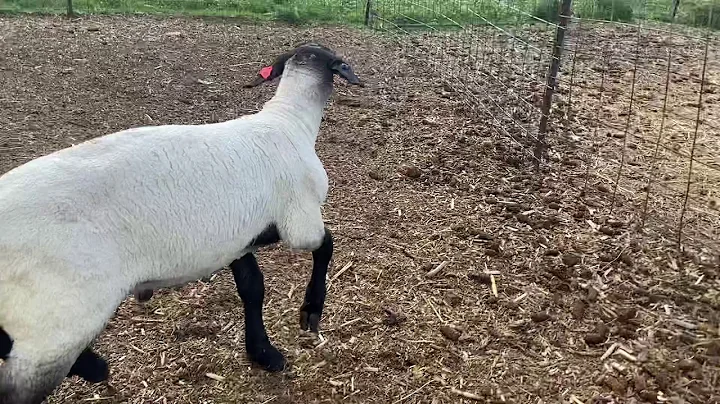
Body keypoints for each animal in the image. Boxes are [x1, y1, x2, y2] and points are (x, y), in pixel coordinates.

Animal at [0, 41, 360, 404]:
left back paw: (93, 367)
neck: (289, 119)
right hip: (52, 326)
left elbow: (252, 287)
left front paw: (262, 352)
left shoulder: (237, 238)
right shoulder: (298, 220)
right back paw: (93, 367)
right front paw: (311, 311)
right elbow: (326, 245)